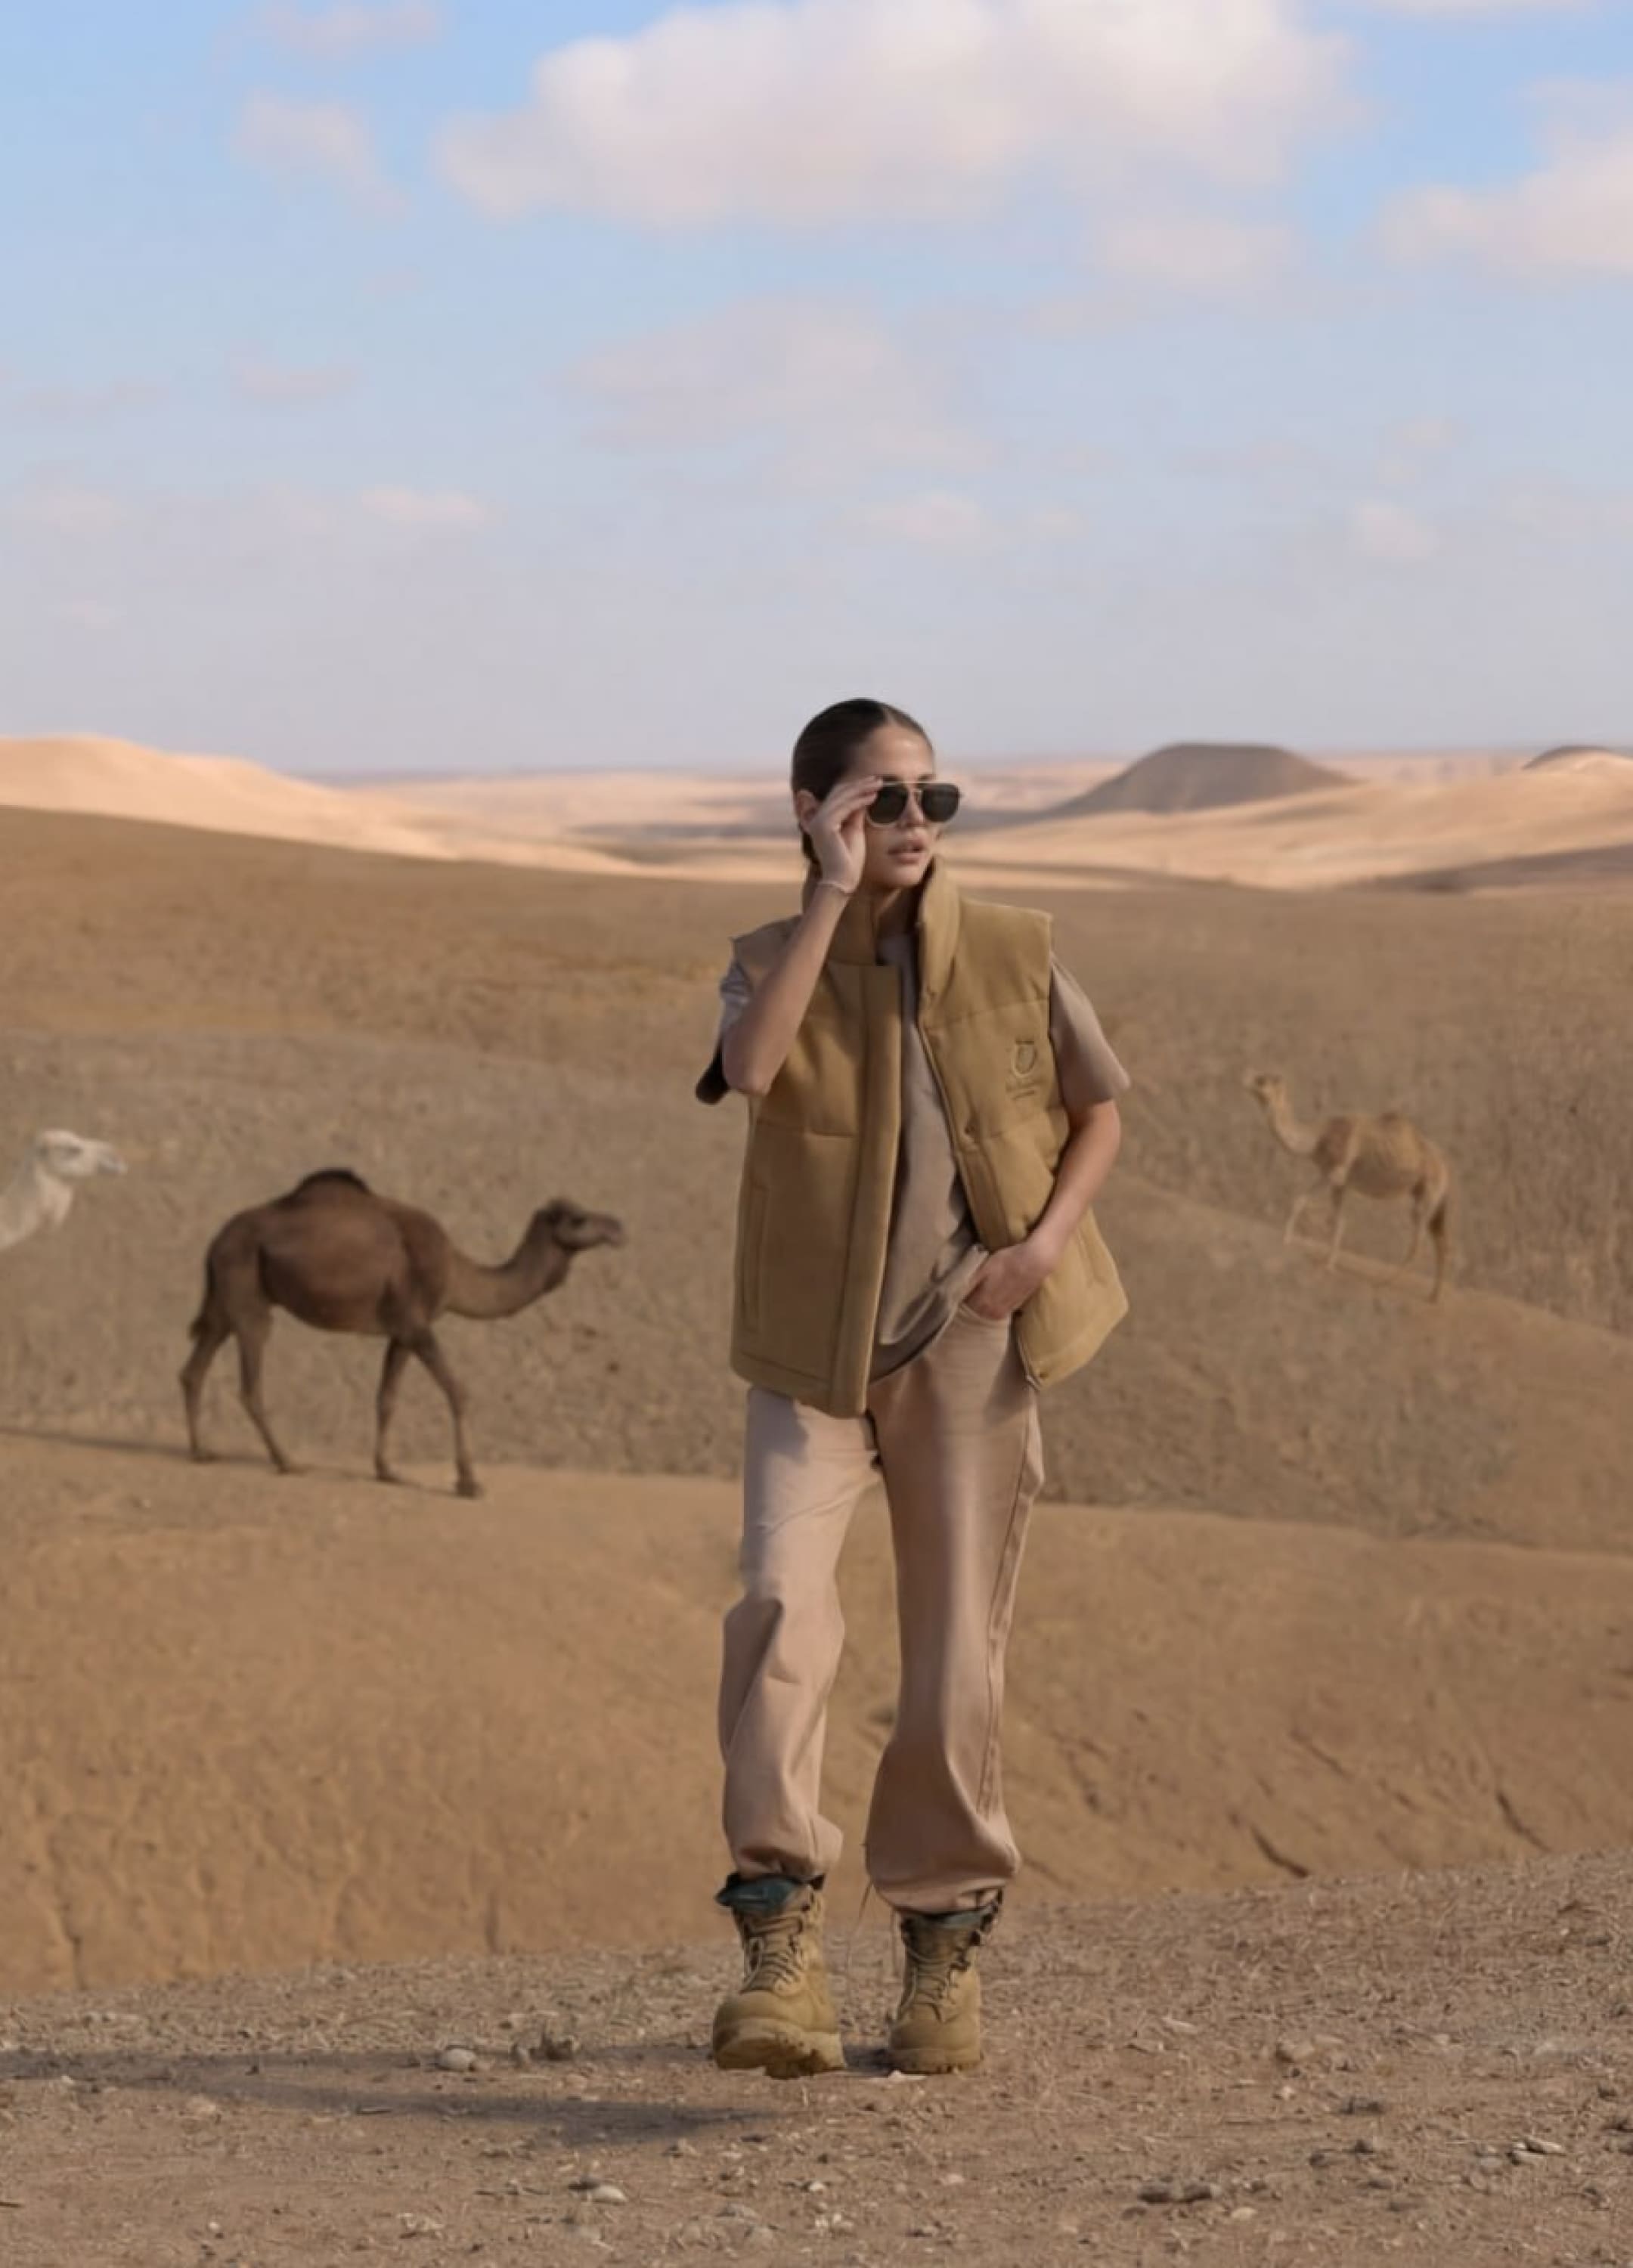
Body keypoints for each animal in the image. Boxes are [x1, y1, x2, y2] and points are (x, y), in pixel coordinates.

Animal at [181, 1169, 625, 1498]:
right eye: (579, 1219)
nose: (619, 1227)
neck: (456, 1271)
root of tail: (215, 1240)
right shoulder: (417, 1323)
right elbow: (458, 1391)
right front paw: (469, 1482)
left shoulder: (400, 1331)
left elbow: (387, 1398)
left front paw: (388, 1471)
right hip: (248, 1293)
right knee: (250, 1382)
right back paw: (287, 1461)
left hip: (224, 1302)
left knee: (194, 1370)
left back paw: (202, 1452)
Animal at [1243, 1073, 1453, 1301]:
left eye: (1262, 1081)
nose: (1246, 1080)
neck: (1319, 1137)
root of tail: (1445, 1167)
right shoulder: (1341, 1183)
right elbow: (1339, 1221)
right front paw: (1329, 1264)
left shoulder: (1336, 1172)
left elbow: (1301, 1200)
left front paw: (1286, 1239)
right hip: (1431, 1199)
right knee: (1441, 1242)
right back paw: (1434, 1296)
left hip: (1429, 1192)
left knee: (1418, 1242)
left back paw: (1385, 1282)